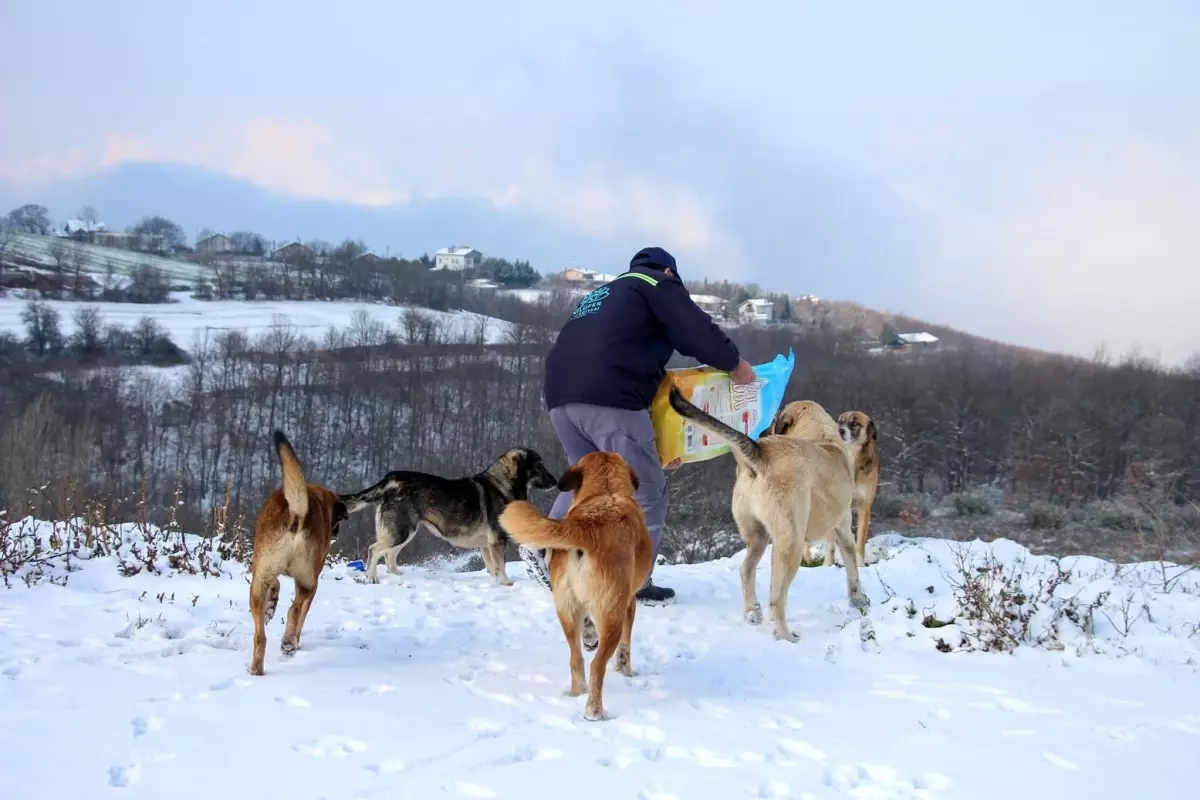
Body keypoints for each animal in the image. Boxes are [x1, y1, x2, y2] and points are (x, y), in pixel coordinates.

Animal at [248, 431, 348, 676]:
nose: (336, 532)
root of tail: (297, 512)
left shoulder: (264, 570)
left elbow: (276, 585)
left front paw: (271, 607)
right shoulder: (312, 581)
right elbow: (302, 610)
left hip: (258, 581)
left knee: (260, 636)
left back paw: (256, 669)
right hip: (308, 580)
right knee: (294, 609)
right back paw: (289, 643)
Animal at [340, 448, 554, 585]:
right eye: (539, 466)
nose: (556, 481)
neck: (502, 485)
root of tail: (390, 479)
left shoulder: (485, 546)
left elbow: (492, 566)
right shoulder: (497, 541)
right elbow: (500, 566)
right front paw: (505, 582)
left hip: (404, 532)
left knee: (389, 554)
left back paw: (396, 574)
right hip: (400, 531)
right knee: (374, 550)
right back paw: (371, 577)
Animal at [496, 453, 652, 724]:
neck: (605, 490)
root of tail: (587, 527)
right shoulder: (630, 601)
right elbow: (626, 644)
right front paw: (626, 670)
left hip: (566, 610)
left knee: (575, 658)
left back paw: (576, 693)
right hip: (611, 613)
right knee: (597, 665)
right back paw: (594, 711)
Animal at [672, 388, 868, 642]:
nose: (763, 430)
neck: (821, 436)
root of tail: (760, 454)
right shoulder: (843, 527)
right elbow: (852, 568)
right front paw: (859, 600)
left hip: (759, 537)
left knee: (746, 571)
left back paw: (753, 612)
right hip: (791, 545)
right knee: (777, 598)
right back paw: (785, 635)